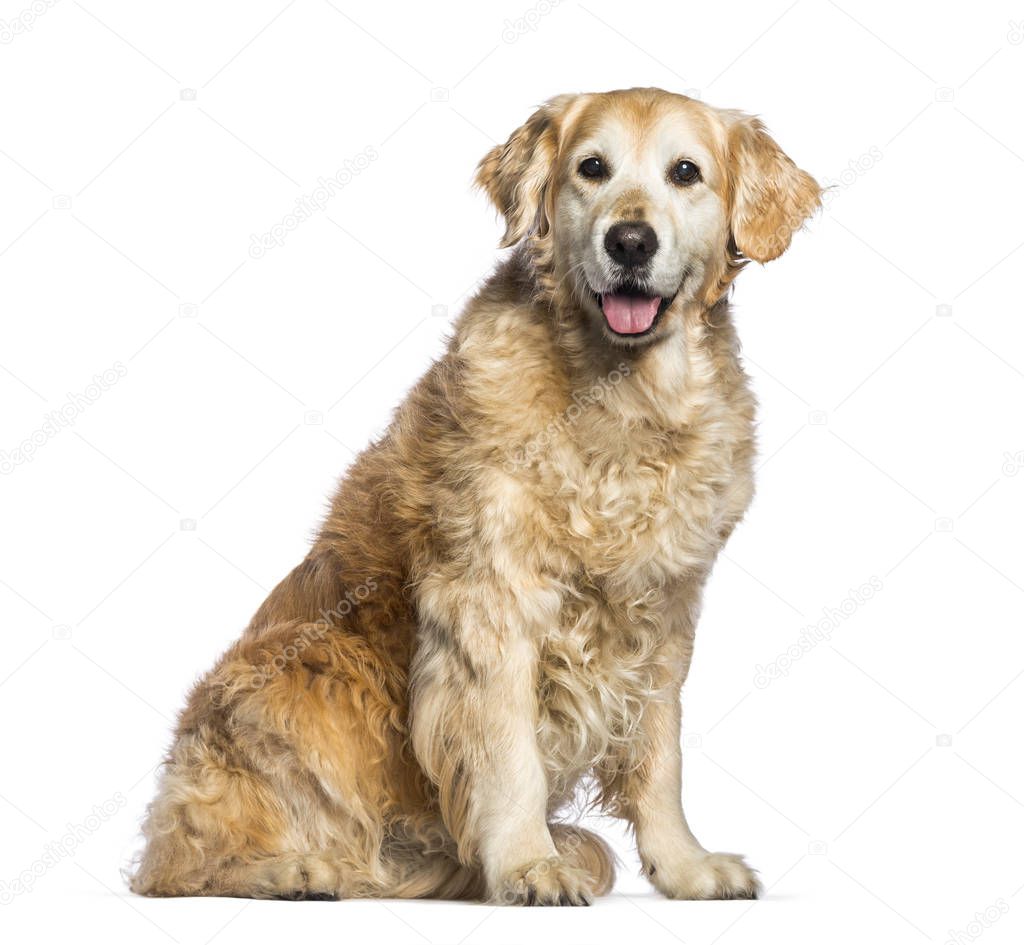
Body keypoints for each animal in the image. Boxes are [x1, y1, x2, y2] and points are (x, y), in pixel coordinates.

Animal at [130, 90, 815, 909]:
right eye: (592, 168)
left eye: (686, 173)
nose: (630, 241)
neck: (620, 394)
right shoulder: (486, 600)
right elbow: (508, 755)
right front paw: (528, 866)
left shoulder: (663, 610)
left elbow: (659, 756)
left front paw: (684, 866)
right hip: (308, 669)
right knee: (180, 858)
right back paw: (297, 872)